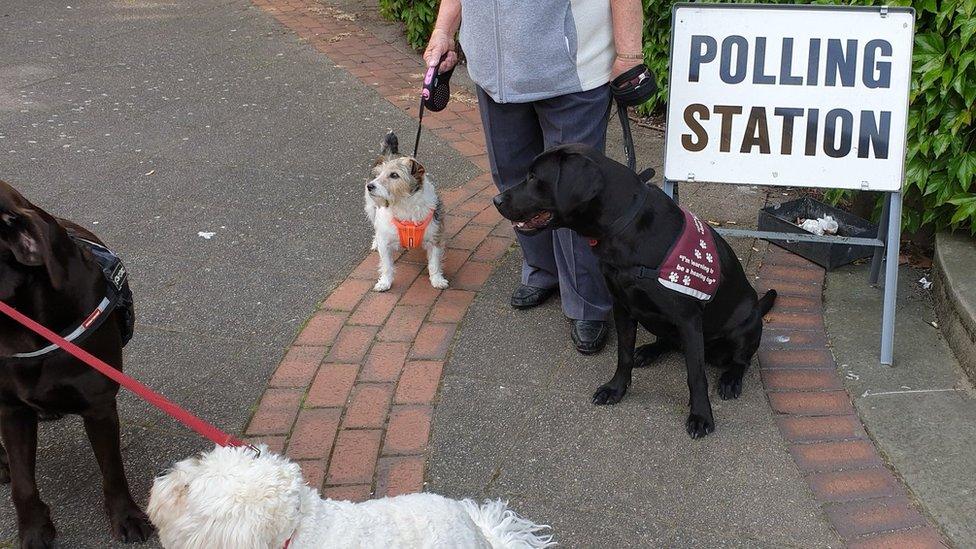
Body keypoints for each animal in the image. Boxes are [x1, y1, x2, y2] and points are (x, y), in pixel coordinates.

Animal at [0, 180, 152, 544]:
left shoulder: (99, 404)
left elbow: (113, 471)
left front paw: (126, 516)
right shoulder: (12, 409)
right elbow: (23, 485)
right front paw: (34, 529)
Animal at [364, 130, 448, 292]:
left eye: (394, 175)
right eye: (378, 174)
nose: (370, 186)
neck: (405, 205)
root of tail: (391, 152)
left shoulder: (435, 238)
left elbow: (434, 263)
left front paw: (437, 280)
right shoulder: (385, 243)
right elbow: (387, 266)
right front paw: (385, 282)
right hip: (371, 208)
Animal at [496, 144, 776, 436]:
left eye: (534, 177)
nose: (496, 200)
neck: (624, 226)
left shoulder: (688, 319)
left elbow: (696, 375)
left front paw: (701, 415)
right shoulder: (623, 307)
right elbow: (624, 355)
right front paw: (616, 389)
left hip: (747, 324)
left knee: (741, 359)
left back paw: (731, 378)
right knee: (669, 341)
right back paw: (650, 351)